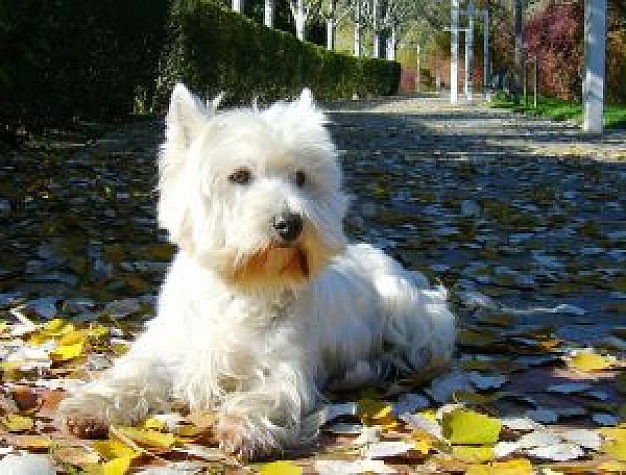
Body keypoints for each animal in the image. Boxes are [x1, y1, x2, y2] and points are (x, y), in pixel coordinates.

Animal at [61, 82, 454, 462]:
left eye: (301, 177)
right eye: (239, 176)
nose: (290, 224)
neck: (241, 287)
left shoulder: (285, 368)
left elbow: (265, 397)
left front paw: (242, 430)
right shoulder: (167, 345)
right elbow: (130, 374)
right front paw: (90, 406)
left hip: (409, 312)